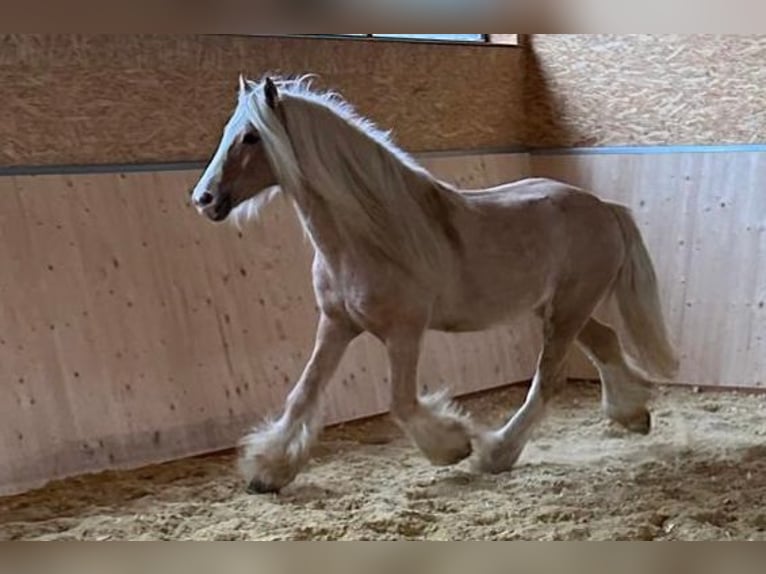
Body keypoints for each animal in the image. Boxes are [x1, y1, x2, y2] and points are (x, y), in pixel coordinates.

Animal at [190, 75, 680, 496]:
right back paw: (633, 414)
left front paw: (454, 446)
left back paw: (496, 453)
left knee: (550, 378)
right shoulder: (336, 325)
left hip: (567, 311)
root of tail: (604, 207)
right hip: (559, 309)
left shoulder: (404, 332)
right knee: (606, 341)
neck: (368, 235)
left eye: (252, 136)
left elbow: (401, 402)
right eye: (229, 131)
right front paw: (267, 472)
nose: (204, 199)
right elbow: (301, 395)